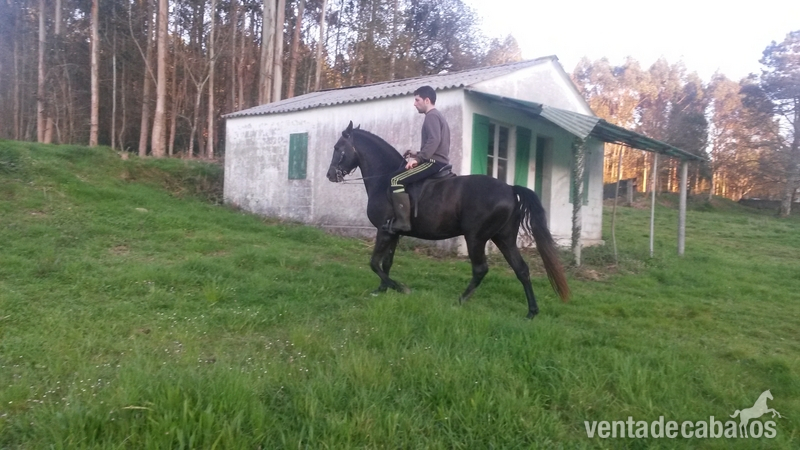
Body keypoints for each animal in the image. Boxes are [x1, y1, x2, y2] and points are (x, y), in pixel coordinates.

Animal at [326, 121, 569, 318]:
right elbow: (386, 263)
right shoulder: (394, 233)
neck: (384, 179)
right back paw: (531, 312)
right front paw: (382, 289)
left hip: (476, 238)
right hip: (504, 238)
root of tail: (510, 188)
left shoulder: (384, 231)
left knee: (480, 269)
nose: (330, 175)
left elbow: (374, 263)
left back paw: (460, 300)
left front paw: (400, 288)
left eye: (338, 148)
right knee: (522, 270)